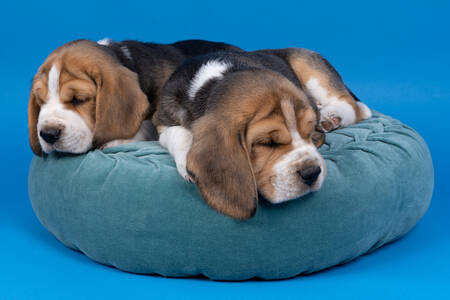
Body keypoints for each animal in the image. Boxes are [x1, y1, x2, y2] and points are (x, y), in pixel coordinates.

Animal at [153, 49, 370, 220]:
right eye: (267, 142)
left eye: (309, 133)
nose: (312, 173)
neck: (219, 78)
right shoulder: (161, 121)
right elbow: (177, 133)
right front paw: (186, 158)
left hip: (308, 64)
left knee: (356, 107)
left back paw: (331, 116)